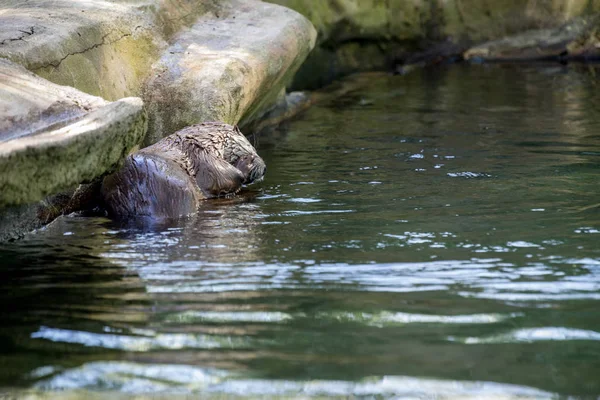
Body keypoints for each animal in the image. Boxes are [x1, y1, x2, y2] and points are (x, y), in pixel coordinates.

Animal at [102, 122, 266, 219]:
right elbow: (222, 178)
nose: (264, 168)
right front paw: (245, 164)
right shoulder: (200, 155)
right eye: (253, 149)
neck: (206, 141)